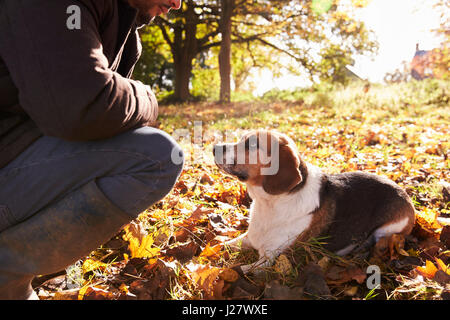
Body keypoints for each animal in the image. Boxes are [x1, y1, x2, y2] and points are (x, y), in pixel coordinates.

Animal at [214, 130, 414, 272]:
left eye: (253, 144)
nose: (214, 147)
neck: (269, 203)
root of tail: (405, 195)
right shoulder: (248, 238)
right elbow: (220, 246)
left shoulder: (270, 260)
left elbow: (238, 270)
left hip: (387, 230)